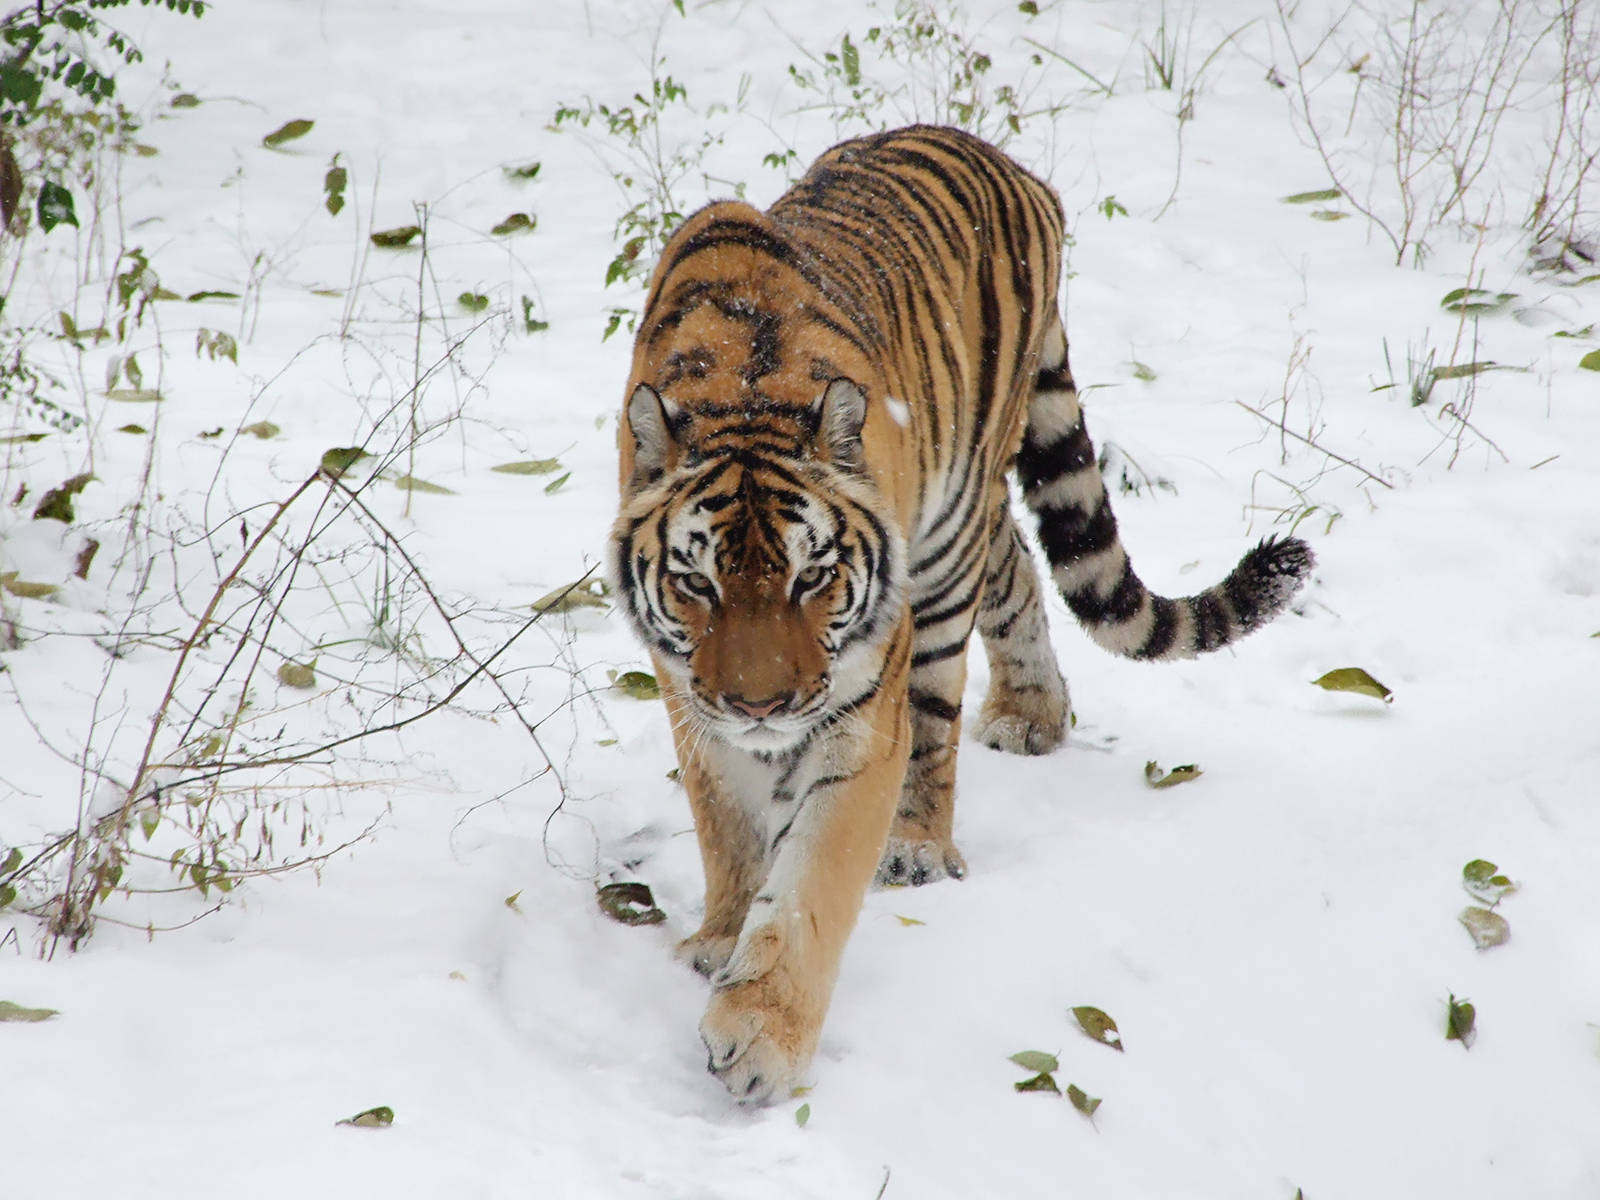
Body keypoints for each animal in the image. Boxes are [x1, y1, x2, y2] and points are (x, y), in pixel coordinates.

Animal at [610, 125, 1313, 1105]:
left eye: (811, 578)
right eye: (698, 584)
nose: (760, 706)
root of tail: (1007, 163)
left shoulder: (860, 713)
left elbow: (813, 882)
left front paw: (760, 1036)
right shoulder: (688, 695)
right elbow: (728, 830)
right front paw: (720, 939)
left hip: (945, 549)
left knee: (945, 702)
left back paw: (919, 841)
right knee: (1015, 565)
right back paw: (1032, 714)